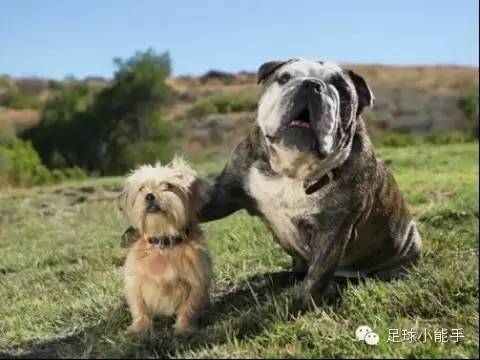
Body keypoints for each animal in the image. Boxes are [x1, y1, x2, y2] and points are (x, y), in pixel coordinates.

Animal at [118, 158, 212, 334]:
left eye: (168, 185)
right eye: (142, 188)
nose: (149, 195)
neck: (163, 240)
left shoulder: (195, 281)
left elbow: (189, 307)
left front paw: (184, 327)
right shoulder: (136, 282)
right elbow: (139, 307)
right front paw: (139, 328)